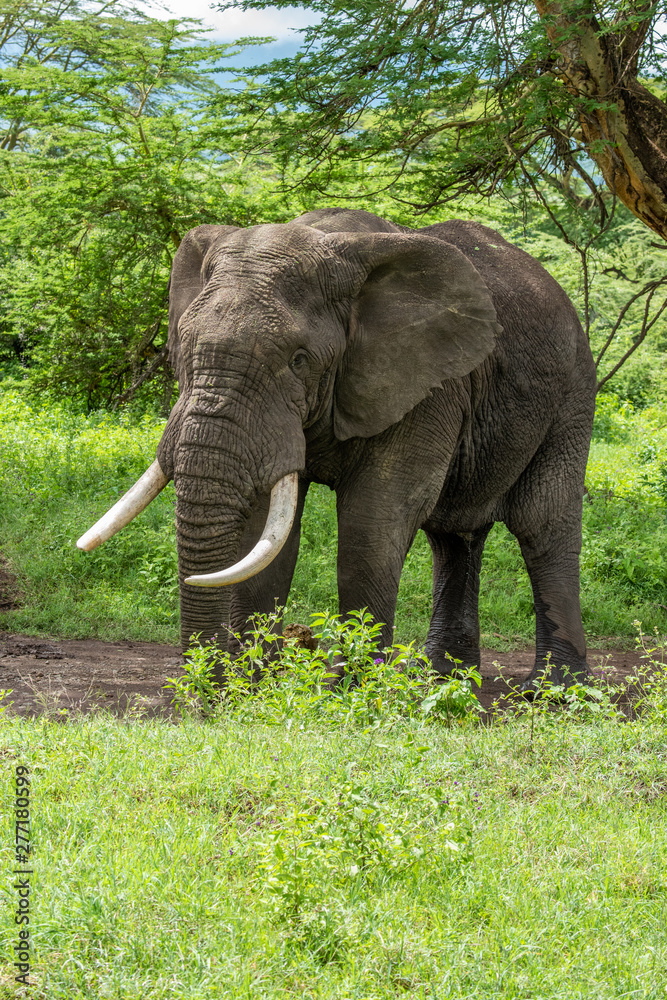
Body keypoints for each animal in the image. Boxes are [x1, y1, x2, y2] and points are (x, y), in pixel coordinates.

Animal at [77, 207, 597, 688]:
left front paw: (353, 694)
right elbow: (266, 531)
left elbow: (372, 520)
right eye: (180, 349)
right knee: (453, 535)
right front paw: (252, 691)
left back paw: (552, 691)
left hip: (573, 390)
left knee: (541, 522)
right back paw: (443, 680)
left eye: (298, 360)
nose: (204, 690)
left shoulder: (424, 386)